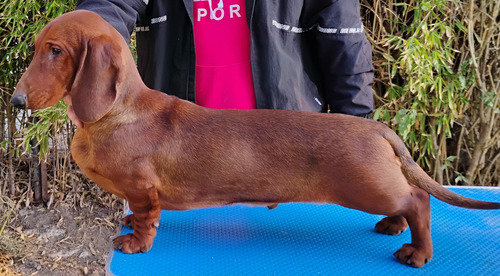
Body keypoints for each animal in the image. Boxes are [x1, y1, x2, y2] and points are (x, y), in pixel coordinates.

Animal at [9, 11, 498, 268]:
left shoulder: (145, 190)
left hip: (367, 186)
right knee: (407, 200)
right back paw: (393, 226)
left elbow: (147, 219)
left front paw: (135, 243)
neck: (118, 112)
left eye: (56, 51)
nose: (15, 101)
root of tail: (376, 127)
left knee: (419, 199)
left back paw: (416, 251)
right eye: (36, 48)